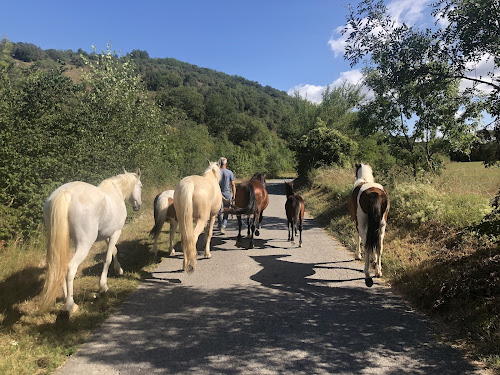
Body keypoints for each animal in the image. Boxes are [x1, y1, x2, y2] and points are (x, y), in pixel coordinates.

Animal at [37, 170, 141, 320]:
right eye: (141, 185)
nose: (137, 206)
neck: (115, 193)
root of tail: (65, 193)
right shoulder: (115, 233)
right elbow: (108, 258)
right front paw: (103, 286)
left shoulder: (106, 235)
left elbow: (114, 251)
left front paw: (119, 270)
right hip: (84, 244)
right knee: (71, 267)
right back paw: (70, 305)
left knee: (60, 267)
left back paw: (66, 298)